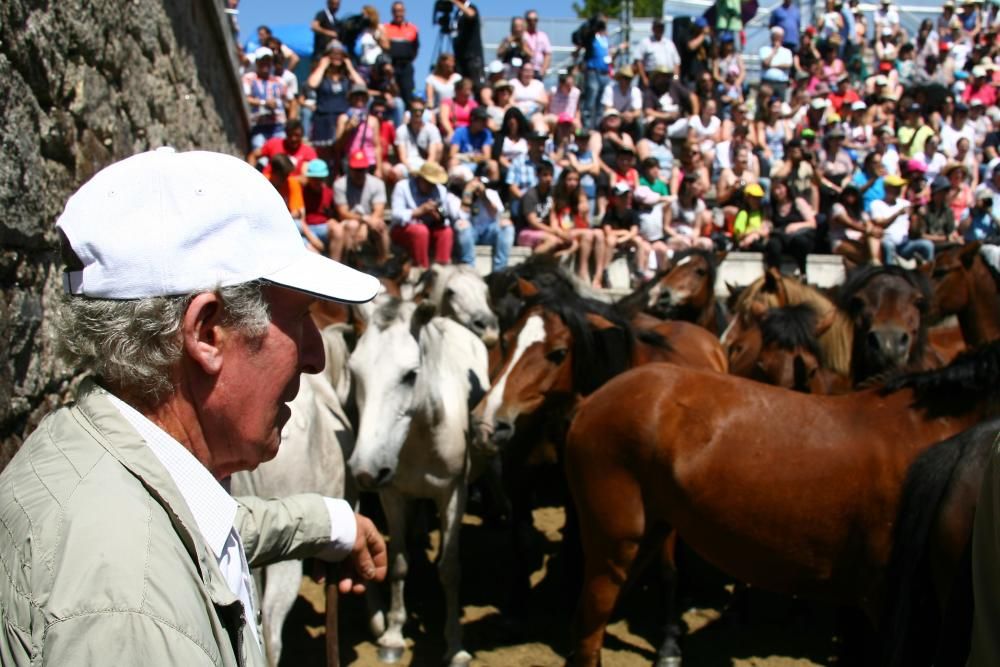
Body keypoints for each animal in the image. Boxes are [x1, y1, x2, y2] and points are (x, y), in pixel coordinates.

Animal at [348, 298, 492, 667]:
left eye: (410, 375)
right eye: (355, 372)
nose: (365, 470)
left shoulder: (454, 495)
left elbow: (450, 569)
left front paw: (455, 645)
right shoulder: (393, 495)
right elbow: (398, 563)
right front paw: (393, 636)